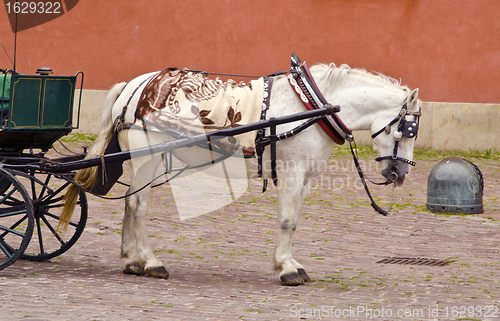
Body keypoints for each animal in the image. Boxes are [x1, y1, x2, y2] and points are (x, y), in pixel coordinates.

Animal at [61, 62, 422, 284]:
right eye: (408, 130)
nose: (401, 173)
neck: (311, 106)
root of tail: (135, 85)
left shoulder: (304, 179)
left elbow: (295, 221)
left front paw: (290, 263)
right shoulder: (291, 174)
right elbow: (287, 221)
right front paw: (286, 268)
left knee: (129, 202)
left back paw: (131, 261)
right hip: (147, 157)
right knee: (138, 207)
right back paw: (151, 261)